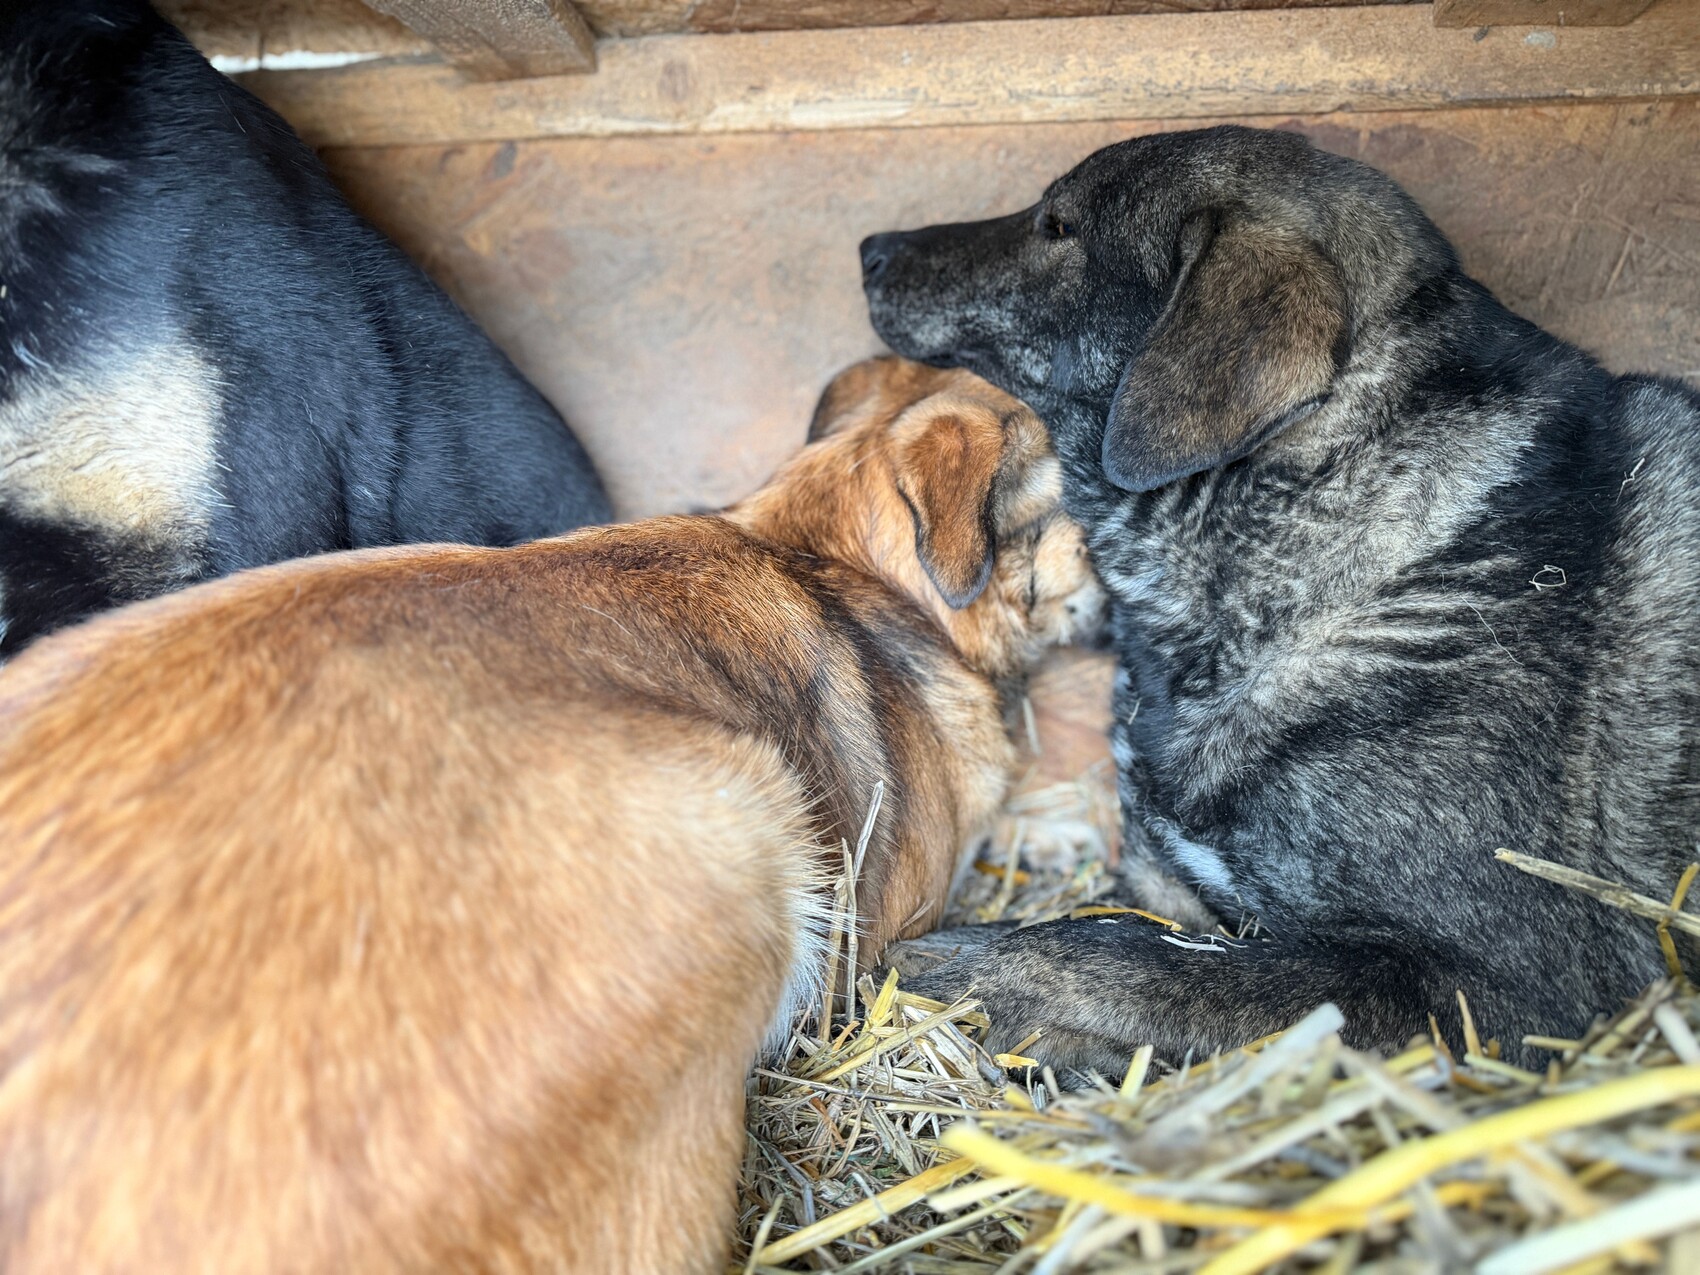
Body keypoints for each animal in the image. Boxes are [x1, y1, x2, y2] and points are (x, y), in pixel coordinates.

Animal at [861, 124, 1700, 1073]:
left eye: (1059, 225)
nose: (869, 249)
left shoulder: (1515, 985)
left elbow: (1139, 960)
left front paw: (976, 970)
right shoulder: (1171, 878)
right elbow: (1141, 931)